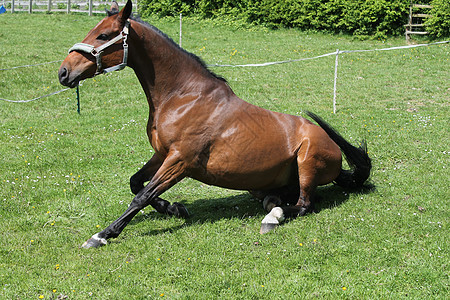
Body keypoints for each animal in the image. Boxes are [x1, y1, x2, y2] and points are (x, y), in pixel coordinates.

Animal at [58, 0, 370, 248]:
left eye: (103, 35)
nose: (63, 73)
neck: (183, 96)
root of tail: (335, 153)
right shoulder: (162, 154)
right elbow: (137, 184)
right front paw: (174, 208)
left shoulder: (179, 161)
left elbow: (142, 196)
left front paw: (101, 235)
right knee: (278, 198)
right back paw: (271, 206)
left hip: (306, 163)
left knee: (304, 205)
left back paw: (273, 218)